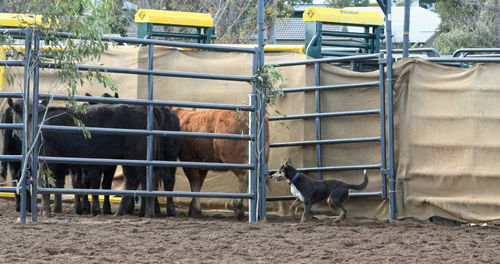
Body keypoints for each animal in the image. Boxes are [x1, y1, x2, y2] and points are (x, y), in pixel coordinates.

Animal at [8, 98, 180, 218]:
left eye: (12, 113)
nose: (13, 134)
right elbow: (58, 185)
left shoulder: (44, 161)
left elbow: (44, 184)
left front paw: (46, 211)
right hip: (128, 161)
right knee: (132, 181)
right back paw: (120, 212)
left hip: (140, 159)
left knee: (146, 181)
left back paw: (148, 213)